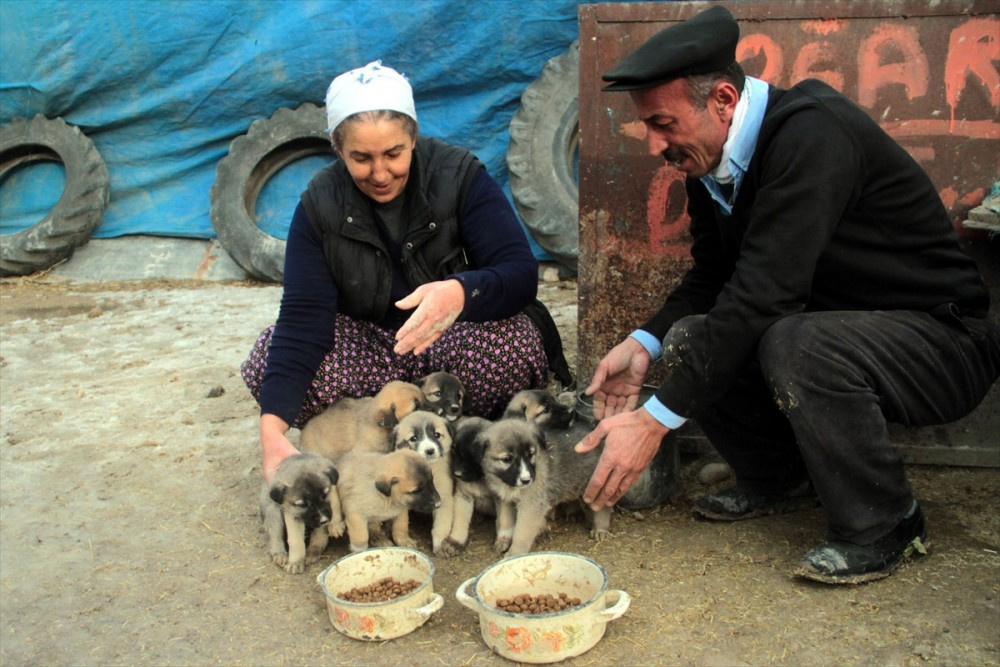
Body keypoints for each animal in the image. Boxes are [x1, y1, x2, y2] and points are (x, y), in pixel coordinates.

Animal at [390, 412, 460, 560]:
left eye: (437, 435)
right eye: (413, 438)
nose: (430, 450)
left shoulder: (444, 497)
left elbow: (442, 524)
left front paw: (440, 545)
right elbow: (401, 521)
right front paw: (403, 540)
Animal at [476, 420, 608, 556]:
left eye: (531, 455)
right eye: (507, 459)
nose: (526, 480)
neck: (509, 485)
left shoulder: (530, 506)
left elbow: (521, 532)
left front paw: (515, 553)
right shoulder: (504, 500)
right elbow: (505, 521)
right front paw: (502, 540)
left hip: (594, 485)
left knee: (602, 508)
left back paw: (600, 529)